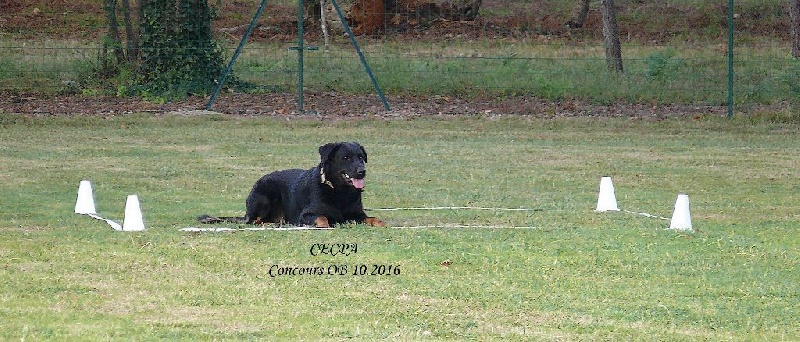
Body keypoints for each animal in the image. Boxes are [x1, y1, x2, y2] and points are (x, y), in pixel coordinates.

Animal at [200, 143, 388, 228]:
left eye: (360, 157)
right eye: (346, 158)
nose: (362, 171)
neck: (339, 191)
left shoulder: (357, 214)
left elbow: (373, 218)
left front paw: (382, 223)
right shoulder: (306, 215)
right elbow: (322, 218)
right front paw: (326, 224)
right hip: (266, 192)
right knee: (254, 221)